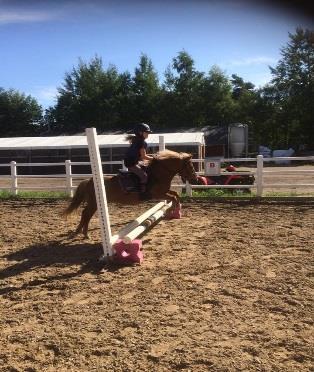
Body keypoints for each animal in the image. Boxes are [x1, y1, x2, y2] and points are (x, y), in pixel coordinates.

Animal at [62, 150, 197, 237]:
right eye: (190, 166)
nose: (195, 179)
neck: (158, 173)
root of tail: (89, 180)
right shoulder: (158, 194)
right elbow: (173, 198)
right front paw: (174, 209)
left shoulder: (164, 192)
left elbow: (175, 195)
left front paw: (176, 210)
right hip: (95, 203)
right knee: (86, 214)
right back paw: (82, 233)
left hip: (94, 203)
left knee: (86, 214)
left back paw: (81, 232)